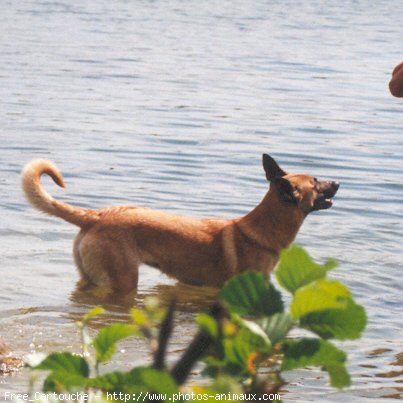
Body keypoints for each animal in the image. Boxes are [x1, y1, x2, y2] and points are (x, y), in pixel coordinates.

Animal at [21, 155, 338, 296]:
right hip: (123, 281)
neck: (260, 231)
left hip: (91, 275)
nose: (337, 182)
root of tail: (95, 216)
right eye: (315, 182)